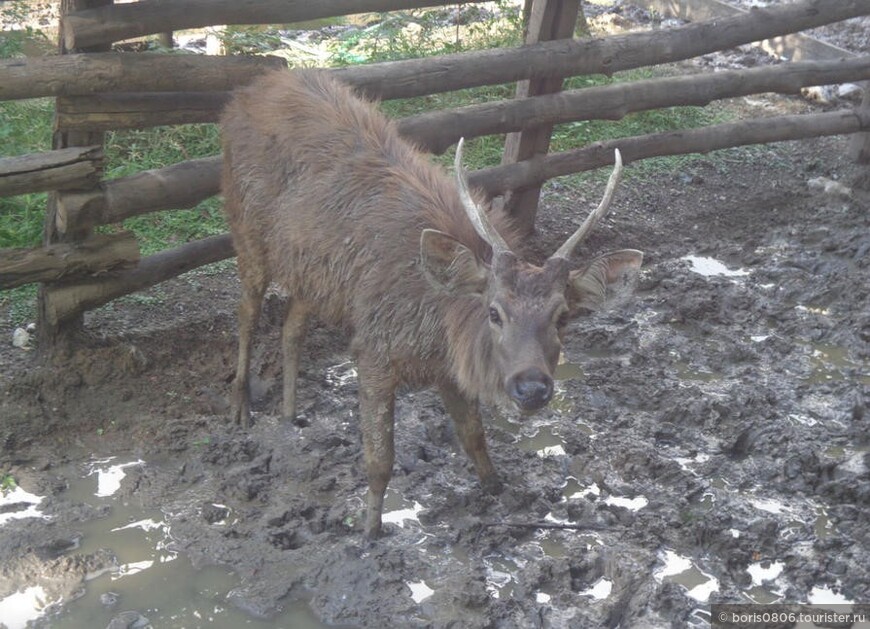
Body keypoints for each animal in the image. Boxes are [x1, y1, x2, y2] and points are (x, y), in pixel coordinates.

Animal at [221, 70, 644, 540]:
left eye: (562, 316)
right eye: (494, 312)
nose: (532, 388)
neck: (439, 327)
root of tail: (254, 86)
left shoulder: (446, 369)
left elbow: (473, 435)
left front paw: (497, 489)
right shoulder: (373, 350)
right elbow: (379, 460)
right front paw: (370, 531)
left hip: (312, 274)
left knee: (291, 326)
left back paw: (290, 414)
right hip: (244, 224)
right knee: (247, 310)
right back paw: (240, 405)